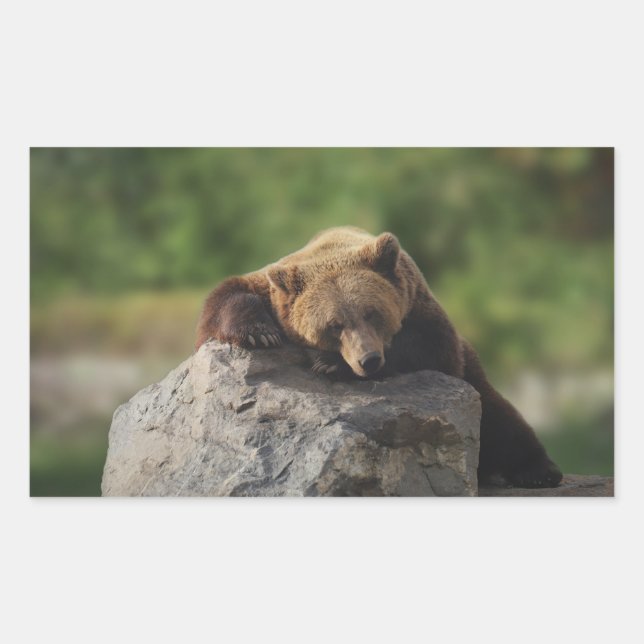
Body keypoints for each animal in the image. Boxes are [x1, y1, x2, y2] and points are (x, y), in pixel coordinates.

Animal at [195, 226, 563, 488]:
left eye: (372, 313)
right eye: (334, 324)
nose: (368, 359)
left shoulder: (421, 308)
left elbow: (429, 346)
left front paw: (330, 363)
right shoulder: (273, 290)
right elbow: (226, 295)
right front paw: (259, 332)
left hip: (472, 373)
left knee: (498, 416)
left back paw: (539, 470)